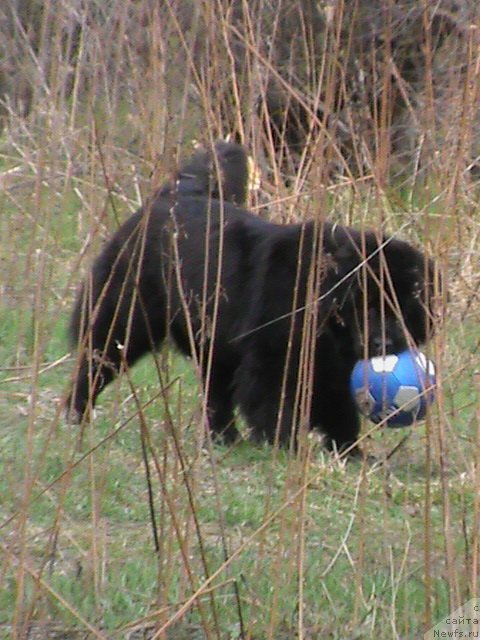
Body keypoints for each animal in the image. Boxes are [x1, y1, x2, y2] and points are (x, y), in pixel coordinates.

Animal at [68, 142, 438, 452]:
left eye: (404, 309)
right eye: (368, 307)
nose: (384, 342)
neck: (321, 293)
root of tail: (165, 197)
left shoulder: (330, 366)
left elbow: (338, 408)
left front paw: (349, 451)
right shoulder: (276, 353)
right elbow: (275, 401)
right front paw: (284, 444)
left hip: (211, 341)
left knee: (216, 394)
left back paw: (223, 438)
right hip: (125, 316)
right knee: (95, 361)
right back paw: (76, 415)